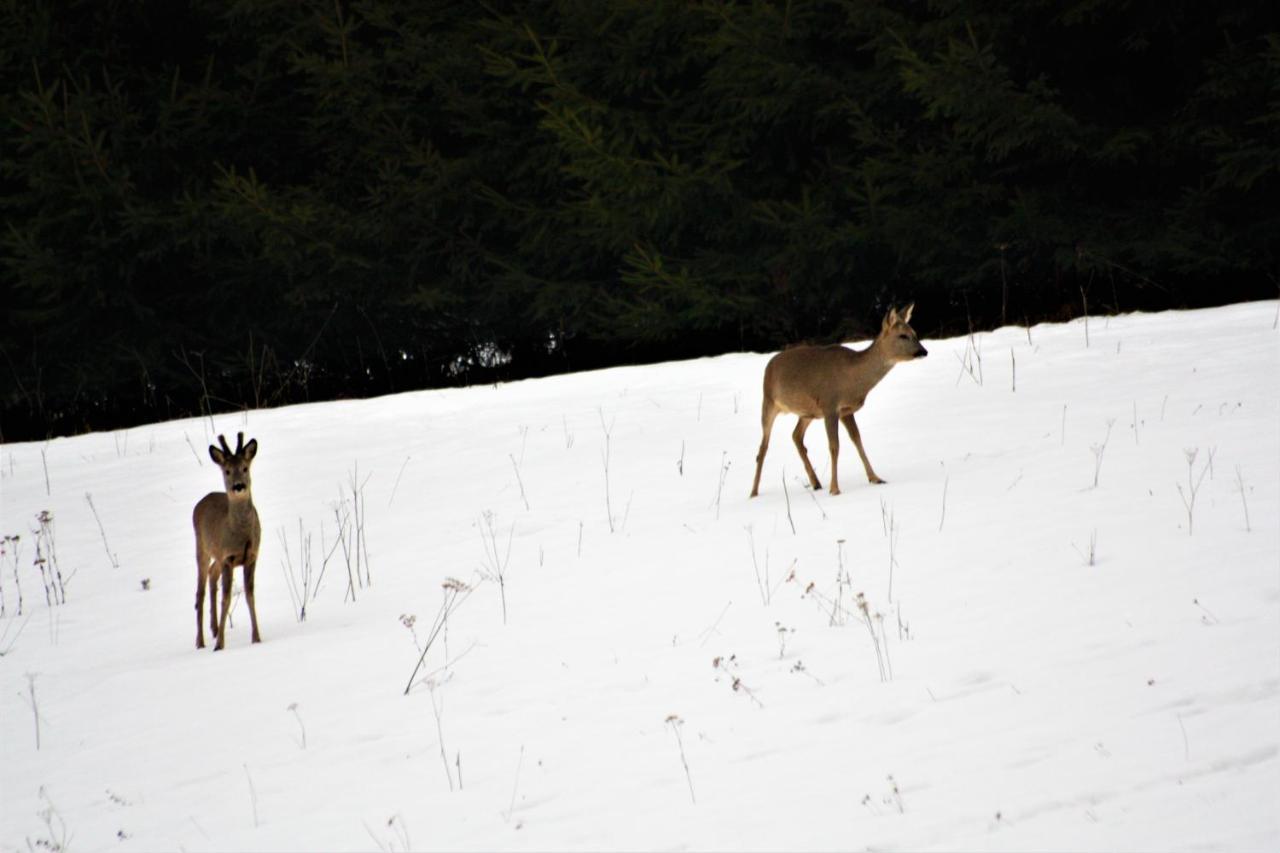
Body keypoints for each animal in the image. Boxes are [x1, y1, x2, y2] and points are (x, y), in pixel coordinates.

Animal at [192, 432, 262, 650]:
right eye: (227, 471)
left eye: (245, 468)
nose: (238, 486)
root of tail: (201, 502)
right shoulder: (228, 558)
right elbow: (226, 598)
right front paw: (219, 645)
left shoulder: (251, 556)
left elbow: (250, 595)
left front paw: (256, 637)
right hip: (202, 548)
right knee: (200, 591)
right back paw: (201, 641)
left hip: (217, 555)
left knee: (212, 574)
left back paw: (214, 629)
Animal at [747, 303, 926, 499]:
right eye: (903, 335)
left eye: (915, 333)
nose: (923, 351)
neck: (853, 379)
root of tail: (769, 365)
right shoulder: (830, 405)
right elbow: (834, 446)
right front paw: (835, 489)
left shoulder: (846, 410)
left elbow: (857, 440)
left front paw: (875, 478)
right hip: (768, 402)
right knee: (763, 448)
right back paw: (753, 492)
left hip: (807, 412)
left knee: (796, 436)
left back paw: (816, 483)